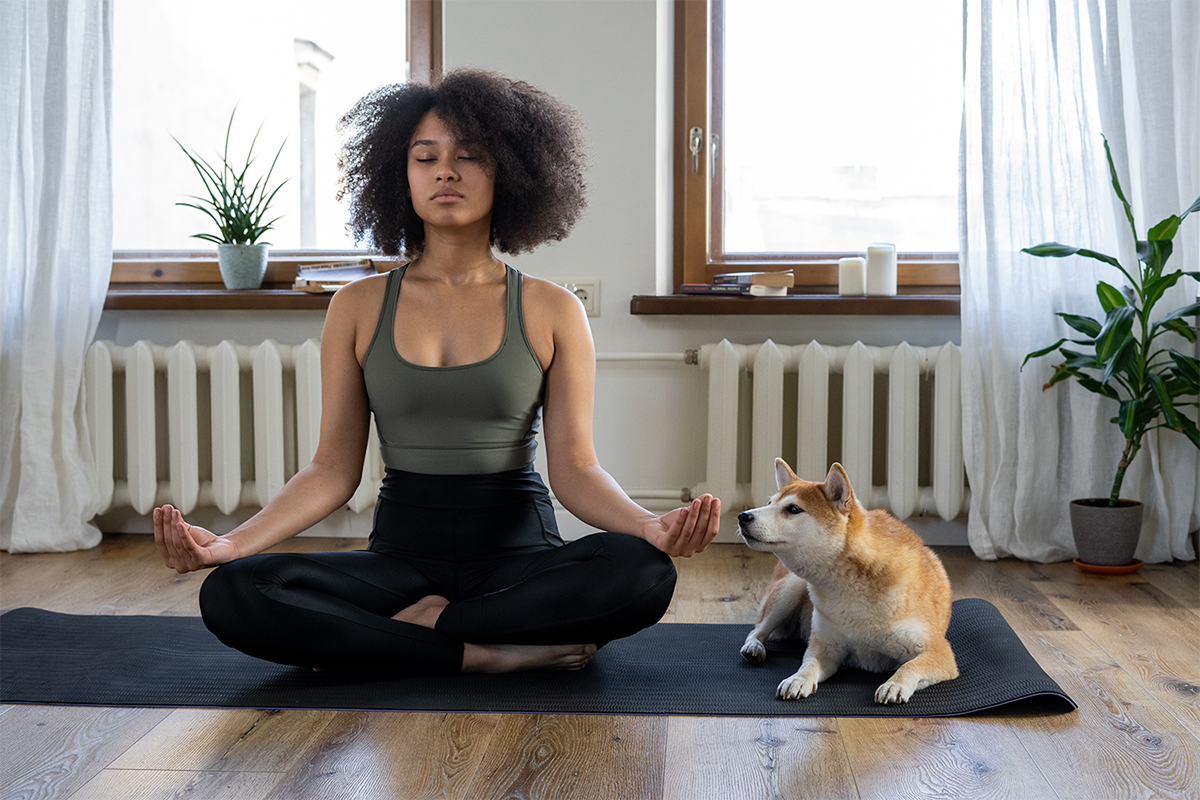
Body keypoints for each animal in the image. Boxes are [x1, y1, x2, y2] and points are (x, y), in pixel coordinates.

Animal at [729, 460, 955, 705]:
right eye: (770, 503)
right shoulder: (825, 648)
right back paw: (754, 647)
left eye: (793, 509)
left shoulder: (939, 652)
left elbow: (909, 667)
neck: (850, 585)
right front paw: (797, 680)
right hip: (790, 589)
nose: (742, 516)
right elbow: (808, 665)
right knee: (758, 629)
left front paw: (894, 684)